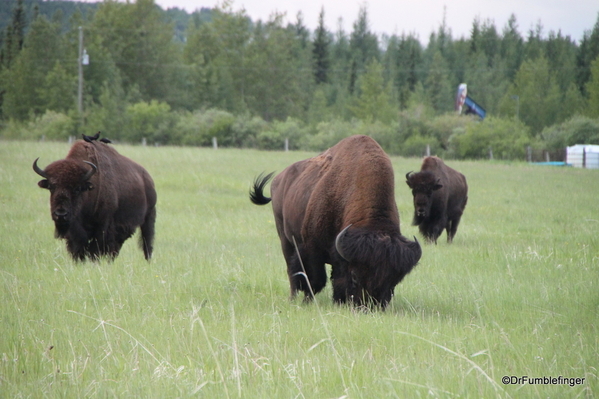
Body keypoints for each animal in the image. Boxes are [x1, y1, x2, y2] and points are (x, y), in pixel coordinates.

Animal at [248, 135, 422, 310]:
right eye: (354, 275)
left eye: (395, 280)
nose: (370, 306)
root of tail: (279, 179)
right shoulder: (312, 248)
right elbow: (316, 280)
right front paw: (307, 302)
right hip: (285, 238)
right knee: (292, 272)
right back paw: (293, 299)